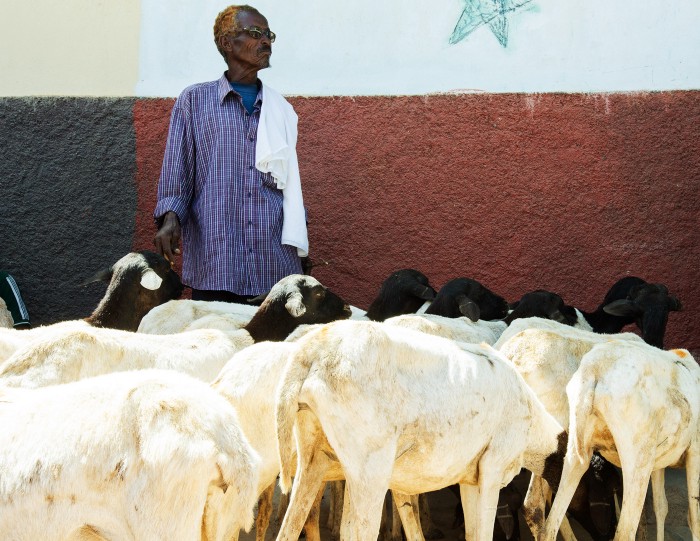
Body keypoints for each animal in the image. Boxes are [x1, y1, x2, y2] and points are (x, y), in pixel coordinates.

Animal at [540, 342, 700, 540]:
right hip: (638, 461)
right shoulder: (695, 452)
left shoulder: (660, 463)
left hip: (575, 455)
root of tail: (594, 369)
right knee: (625, 531)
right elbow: (694, 518)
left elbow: (661, 507)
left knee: (550, 525)